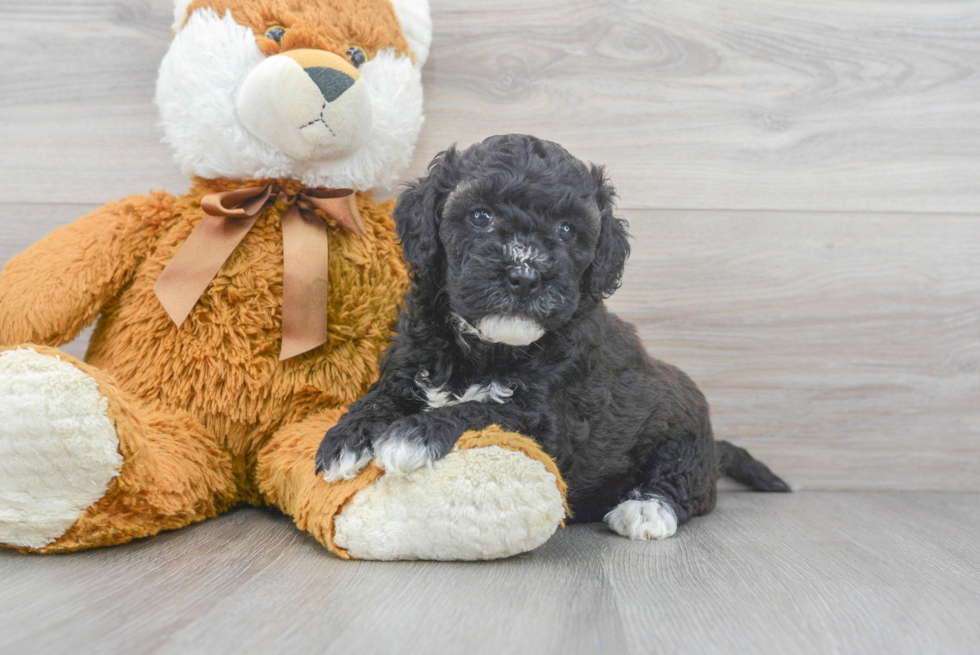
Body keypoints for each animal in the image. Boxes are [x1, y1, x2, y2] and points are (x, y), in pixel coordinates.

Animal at [318, 135, 792, 544]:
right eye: (480, 217)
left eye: (566, 230)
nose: (525, 275)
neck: (485, 347)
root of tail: (713, 449)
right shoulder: (408, 367)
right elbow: (377, 399)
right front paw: (343, 440)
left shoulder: (549, 415)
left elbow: (483, 410)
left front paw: (413, 434)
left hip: (683, 425)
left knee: (686, 484)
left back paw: (646, 509)